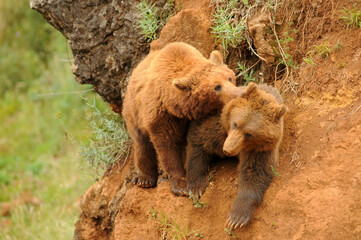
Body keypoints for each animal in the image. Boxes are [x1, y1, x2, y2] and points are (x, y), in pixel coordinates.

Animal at [121, 41, 242, 195]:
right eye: (217, 87)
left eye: (230, 77)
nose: (238, 93)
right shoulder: (161, 116)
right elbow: (167, 146)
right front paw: (180, 185)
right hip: (133, 112)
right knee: (142, 143)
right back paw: (145, 179)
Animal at [184, 83, 286, 229]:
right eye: (235, 124)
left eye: (249, 134)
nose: (227, 149)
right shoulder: (218, 127)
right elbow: (199, 143)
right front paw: (196, 188)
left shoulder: (260, 150)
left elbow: (255, 174)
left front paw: (236, 217)